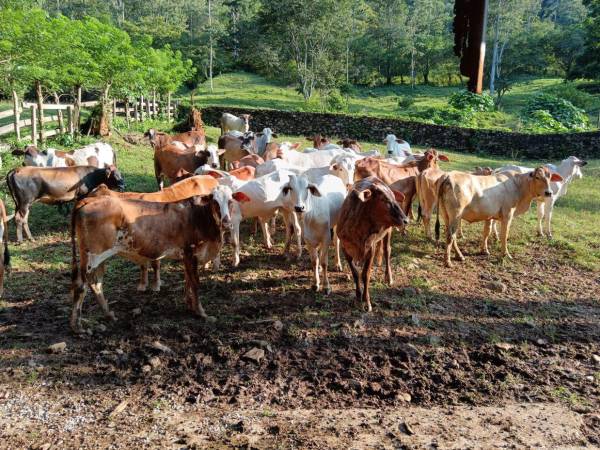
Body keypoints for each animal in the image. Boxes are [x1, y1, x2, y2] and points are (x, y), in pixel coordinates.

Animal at [70, 185, 239, 332]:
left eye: (230, 200)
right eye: (214, 202)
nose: (226, 223)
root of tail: (88, 200)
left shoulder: (186, 256)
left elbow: (188, 281)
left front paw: (189, 305)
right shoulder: (191, 253)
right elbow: (195, 283)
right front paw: (201, 312)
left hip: (99, 258)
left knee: (96, 284)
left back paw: (109, 315)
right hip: (92, 257)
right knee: (81, 286)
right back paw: (77, 326)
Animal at [338, 177, 408, 312]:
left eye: (394, 198)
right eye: (384, 199)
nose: (406, 220)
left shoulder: (371, 248)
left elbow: (365, 274)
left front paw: (366, 302)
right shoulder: (345, 248)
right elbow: (356, 273)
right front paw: (357, 298)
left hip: (388, 232)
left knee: (387, 251)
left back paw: (389, 277)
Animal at [436, 168, 564, 268]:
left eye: (550, 178)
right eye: (537, 177)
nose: (548, 193)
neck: (518, 185)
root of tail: (448, 176)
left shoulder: (489, 215)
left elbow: (486, 232)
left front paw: (484, 250)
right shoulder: (508, 215)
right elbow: (504, 235)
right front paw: (505, 254)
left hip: (446, 214)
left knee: (451, 235)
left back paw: (459, 256)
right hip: (456, 214)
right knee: (450, 236)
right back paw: (448, 261)